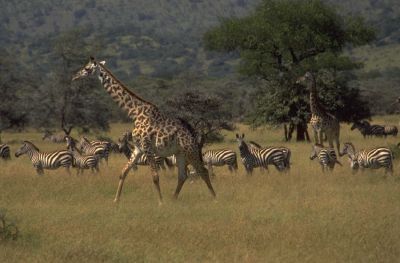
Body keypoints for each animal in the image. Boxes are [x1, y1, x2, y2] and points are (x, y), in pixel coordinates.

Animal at [72, 57, 216, 204]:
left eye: (87, 68)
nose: (75, 76)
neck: (134, 113)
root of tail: (192, 132)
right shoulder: (138, 148)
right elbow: (123, 172)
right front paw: (116, 201)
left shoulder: (147, 148)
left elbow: (155, 176)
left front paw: (160, 203)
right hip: (180, 153)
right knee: (182, 175)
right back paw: (173, 199)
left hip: (190, 150)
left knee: (203, 171)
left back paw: (214, 198)